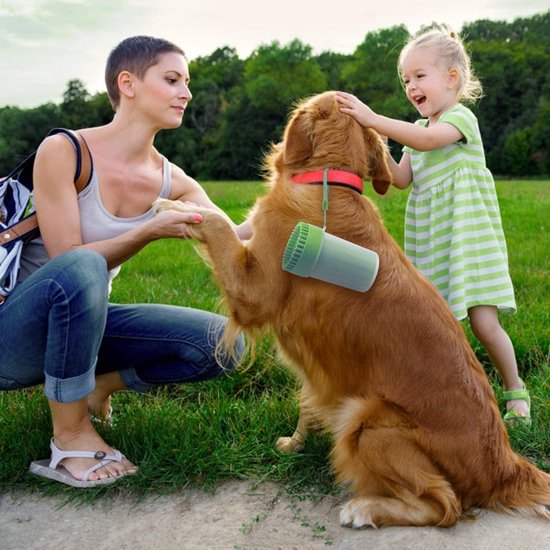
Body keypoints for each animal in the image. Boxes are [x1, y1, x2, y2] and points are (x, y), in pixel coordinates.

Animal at [155, 91, 550, 532]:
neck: (327, 179)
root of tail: (505, 465)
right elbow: (307, 402)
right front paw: (293, 443)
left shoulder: (254, 293)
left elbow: (218, 223)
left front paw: (170, 204)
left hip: (365, 418)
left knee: (444, 506)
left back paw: (363, 509)